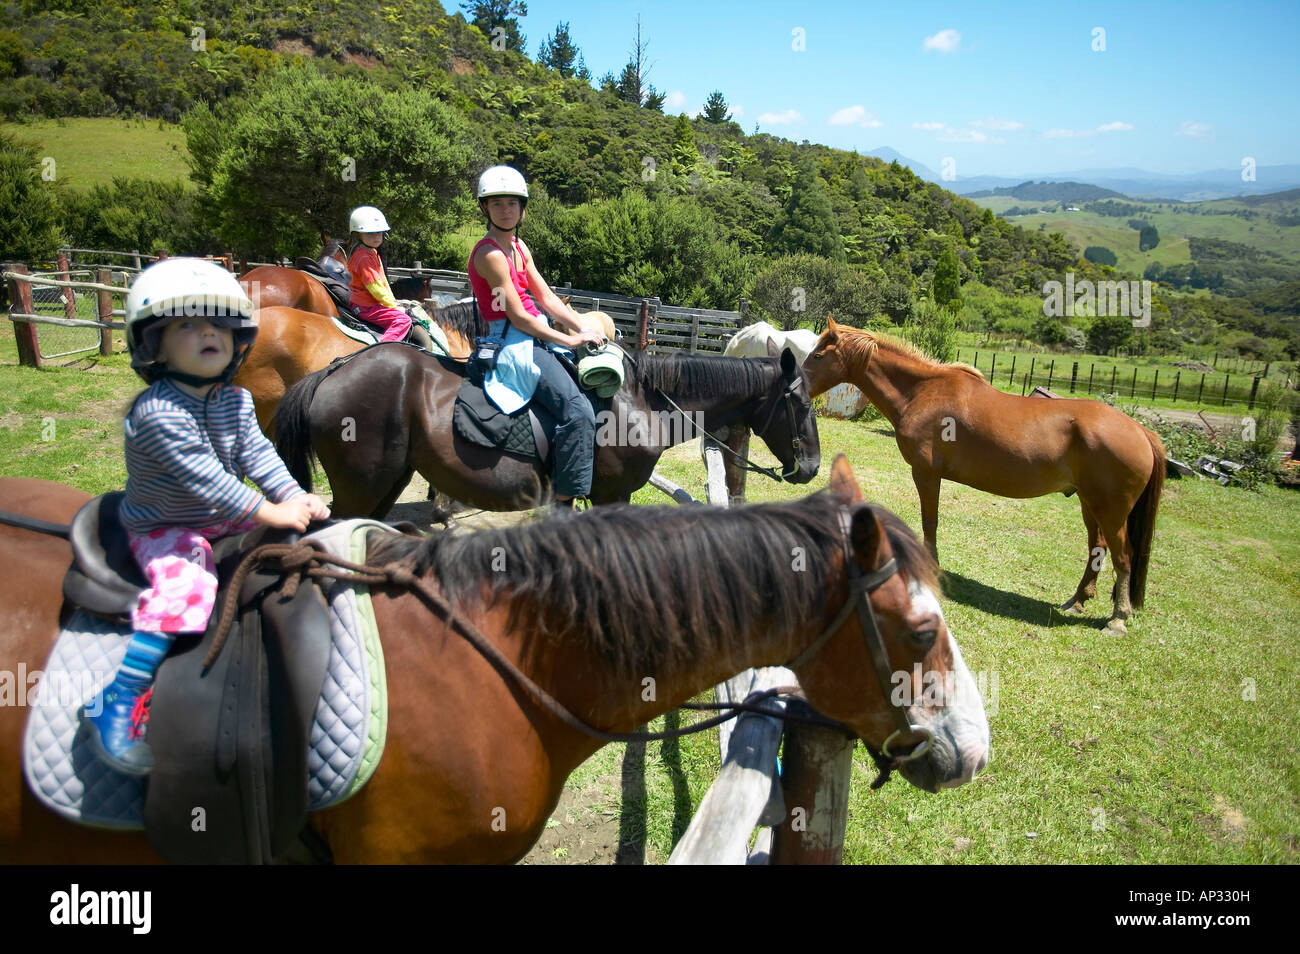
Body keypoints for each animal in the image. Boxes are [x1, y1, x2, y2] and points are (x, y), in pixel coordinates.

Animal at [274, 343, 821, 519]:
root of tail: (333, 370)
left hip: (384, 485)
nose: (812, 466)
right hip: (359, 488)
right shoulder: (609, 496)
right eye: (799, 402)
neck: (638, 404)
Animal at [800, 321, 1170, 634]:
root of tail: (1141, 430)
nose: (795, 387)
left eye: (818, 355)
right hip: (1089, 504)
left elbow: (929, 522)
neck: (923, 392)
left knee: (1123, 557)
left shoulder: (926, 473)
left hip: (1111, 510)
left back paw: (1118, 618)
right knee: (1098, 548)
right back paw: (1078, 601)